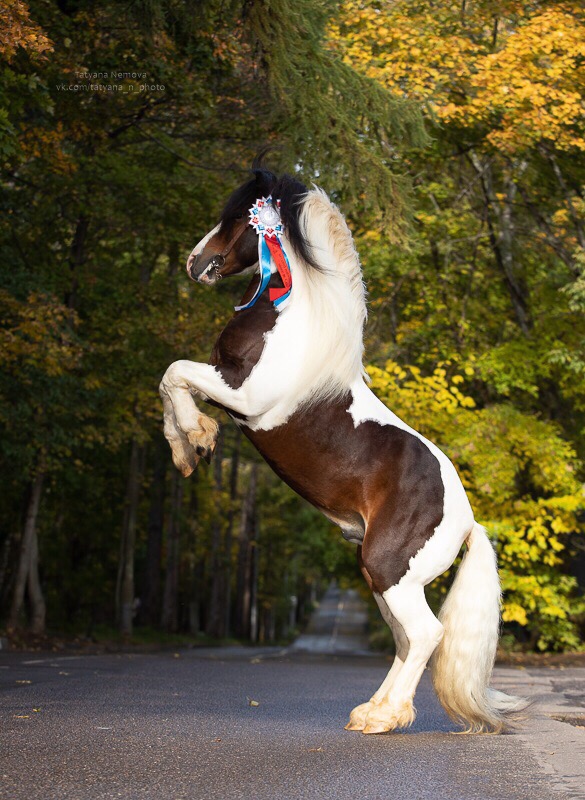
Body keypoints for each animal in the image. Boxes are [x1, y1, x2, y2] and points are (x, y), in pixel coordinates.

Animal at [159, 166, 528, 734]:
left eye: (237, 216)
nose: (195, 264)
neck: (293, 324)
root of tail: (468, 522)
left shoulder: (245, 397)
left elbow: (174, 372)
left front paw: (196, 439)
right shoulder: (226, 387)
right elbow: (171, 380)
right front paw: (186, 447)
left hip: (389, 570)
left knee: (426, 634)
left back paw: (383, 718)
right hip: (382, 579)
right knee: (406, 640)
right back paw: (373, 711)